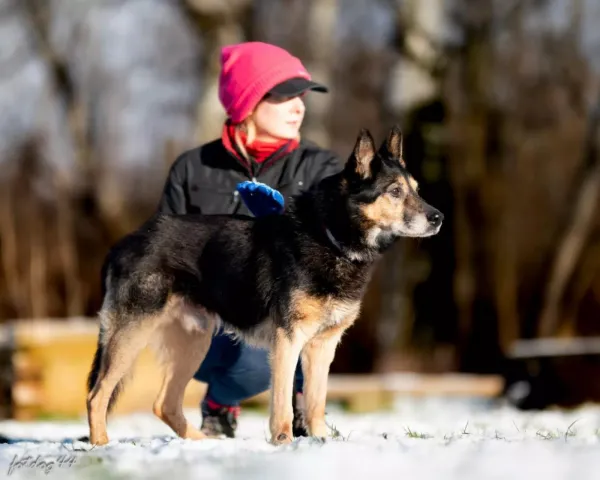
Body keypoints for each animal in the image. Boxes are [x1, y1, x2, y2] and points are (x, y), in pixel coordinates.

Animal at [85, 124, 440, 446]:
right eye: (395, 192)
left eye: (416, 189)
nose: (439, 218)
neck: (330, 237)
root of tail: (125, 243)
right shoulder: (288, 340)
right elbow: (283, 403)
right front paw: (283, 442)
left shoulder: (322, 346)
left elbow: (315, 402)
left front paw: (320, 441)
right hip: (133, 335)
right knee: (97, 395)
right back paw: (101, 444)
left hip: (193, 342)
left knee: (165, 404)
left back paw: (203, 443)